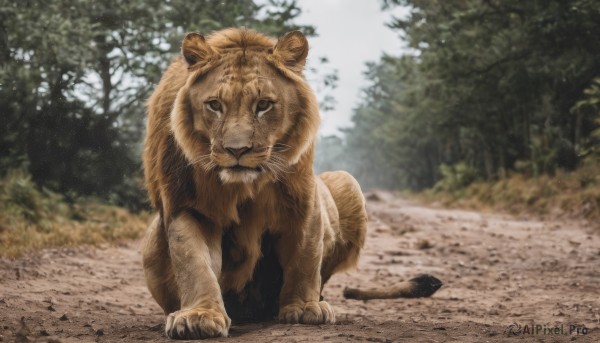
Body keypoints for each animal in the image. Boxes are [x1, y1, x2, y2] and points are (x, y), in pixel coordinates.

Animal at [139, 28, 440, 340]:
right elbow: (193, 262)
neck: (243, 186)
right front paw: (200, 316)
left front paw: (306, 307)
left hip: (347, 182)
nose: (237, 150)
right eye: (214, 105)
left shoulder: (303, 198)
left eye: (263, 105)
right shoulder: (187, 205)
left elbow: (305, 256)